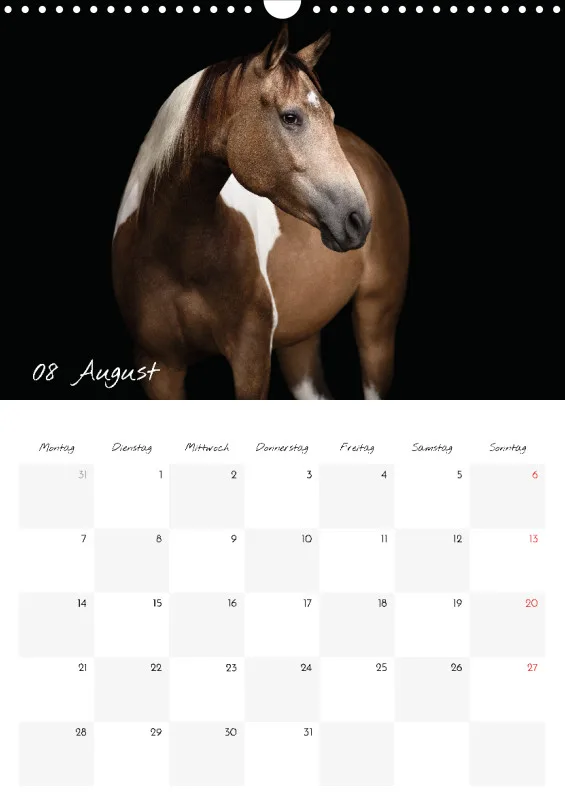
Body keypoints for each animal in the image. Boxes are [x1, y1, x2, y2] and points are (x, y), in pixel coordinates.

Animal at [112, 25, 409, 400]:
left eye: (330, 116)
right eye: (290, 117)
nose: (358, 219)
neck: (176, 256)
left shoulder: (250, 358)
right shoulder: (158, 367)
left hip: (376, 319)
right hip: (300, 341)